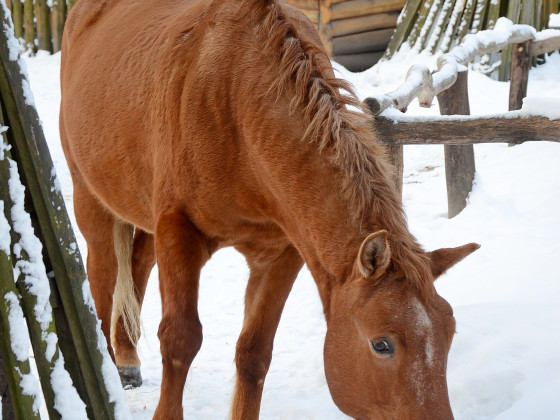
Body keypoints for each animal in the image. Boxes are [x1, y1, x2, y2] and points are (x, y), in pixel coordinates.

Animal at [61, 0, 480, 418]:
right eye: (382, 344)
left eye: (450, 333)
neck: (238, 109)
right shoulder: (178, 230)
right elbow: (180, 340)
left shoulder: (283, 251)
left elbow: (254, 353)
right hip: (91, 202)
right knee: (103, 280)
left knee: (137, 263)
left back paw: (127, 355)